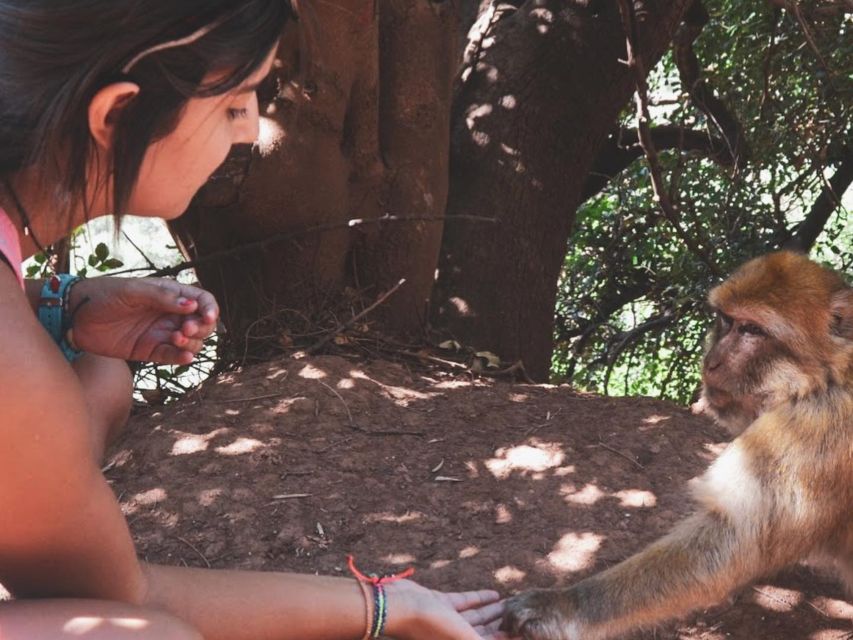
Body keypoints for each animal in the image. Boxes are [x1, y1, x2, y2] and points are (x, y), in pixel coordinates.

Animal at [500, 251, 852, 640]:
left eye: (752, 330)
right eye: (726, 320)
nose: (711, 362)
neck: (822, 377)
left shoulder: (808, 430)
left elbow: (731, 542)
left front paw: (563, 605)